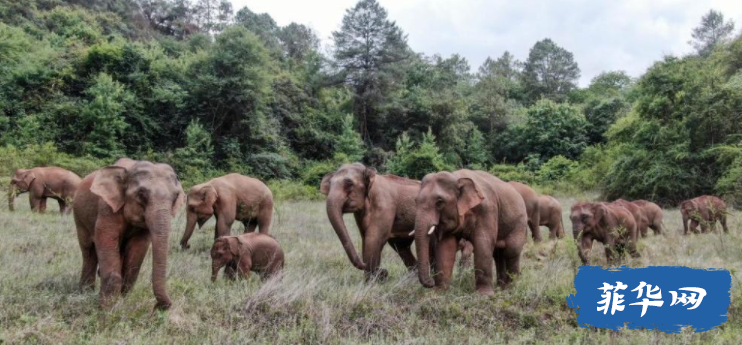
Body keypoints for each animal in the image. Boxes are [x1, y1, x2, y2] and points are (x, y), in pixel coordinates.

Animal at [73, 159, 186, 310]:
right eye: (141, 194)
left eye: (176, 196)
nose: (158, 307)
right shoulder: (107, 207)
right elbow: (105, 238)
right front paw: (106, 308)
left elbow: (138, 249)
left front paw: (123, 300)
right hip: (79, 217)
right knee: (88, 251)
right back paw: (85, 292)